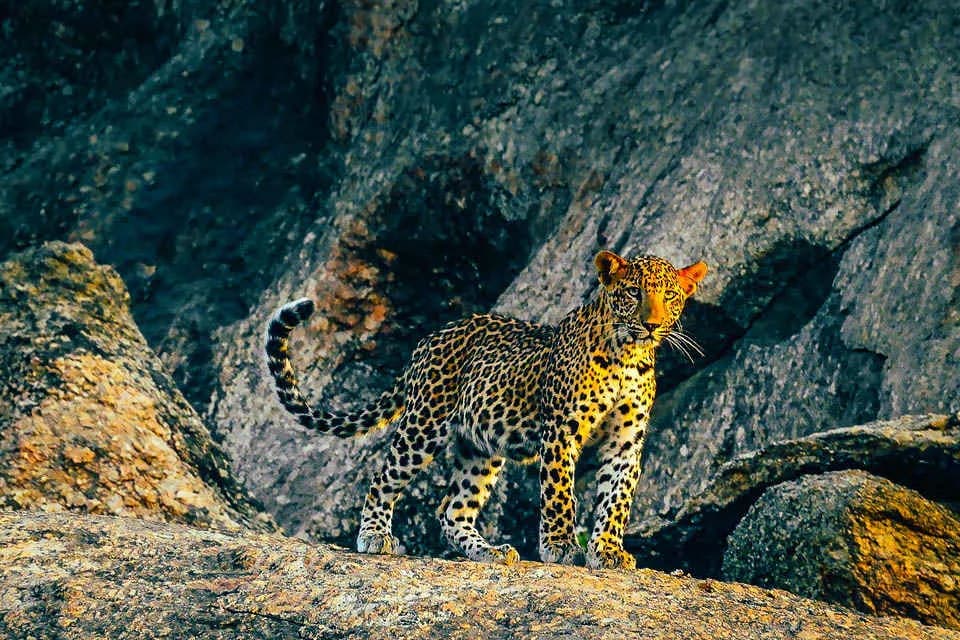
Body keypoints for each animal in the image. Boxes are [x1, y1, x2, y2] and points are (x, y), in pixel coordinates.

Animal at [265, 250, 706, 570]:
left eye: (670, 296)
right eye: (633, 293)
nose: (651, 325)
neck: (628, 354)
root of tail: (430, 338)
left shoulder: (625, 441)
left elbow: (617, 499)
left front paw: (609, 551)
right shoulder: (561, 431)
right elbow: (560, 494)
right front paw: (561, 547)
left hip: (480, 448)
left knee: (452, 510)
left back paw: (490, 552)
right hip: (425, 424)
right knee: (383, 478)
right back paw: (374, 535)